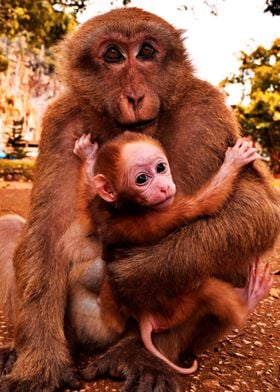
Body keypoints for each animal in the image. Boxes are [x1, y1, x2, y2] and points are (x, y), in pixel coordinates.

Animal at [71, 131, 270, 374]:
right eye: (141, 179)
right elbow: (204, 205)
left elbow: (87, 204)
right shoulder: (162, 212)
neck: (125, 206)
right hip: (175, 309)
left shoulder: (99, 208)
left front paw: (88, 155)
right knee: (208, 290)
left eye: (161, 167)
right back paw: (247, 302)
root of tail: (145, 319)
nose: (164, 187)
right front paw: (235, 161)